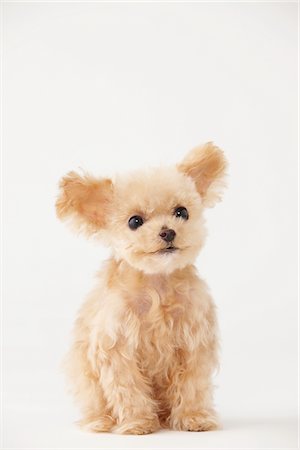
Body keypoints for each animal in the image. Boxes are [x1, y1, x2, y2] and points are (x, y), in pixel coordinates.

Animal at [55, 142, 227, 434]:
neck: (157, 284)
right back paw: (101, 422)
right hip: (85, 376)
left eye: (182, 212)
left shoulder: (194, 344)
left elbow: (192, 387)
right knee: (95, 405)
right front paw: (138, 423)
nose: (168, 232)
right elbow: (129, 391)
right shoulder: (117, 349)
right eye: (135, 221)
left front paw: (194, 418)